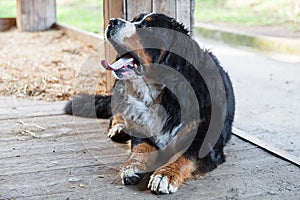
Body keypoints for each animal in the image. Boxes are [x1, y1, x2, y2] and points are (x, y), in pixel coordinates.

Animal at [64, 13, 236, 195]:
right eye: (134, 20)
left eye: (149, 27)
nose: (112, 22)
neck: (163, 95)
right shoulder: (144, 130)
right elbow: (141, 147)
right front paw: (132, 166)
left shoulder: (203, 139)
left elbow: (183, 157)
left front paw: (165, 175)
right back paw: (119, 128)